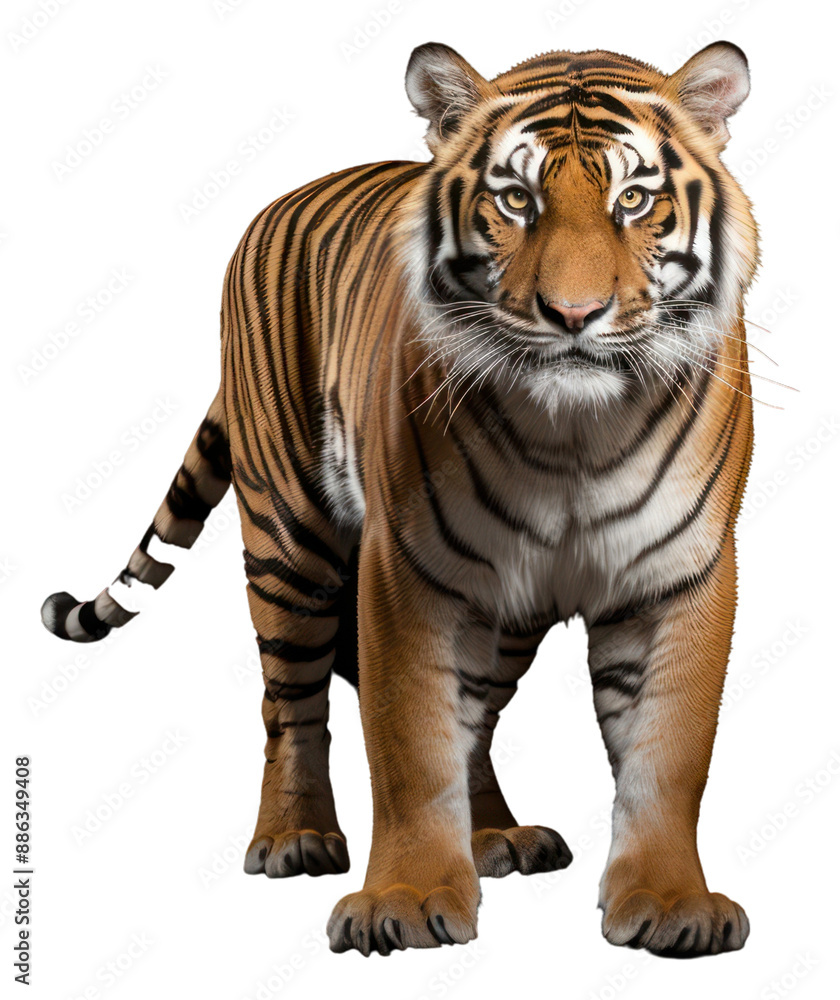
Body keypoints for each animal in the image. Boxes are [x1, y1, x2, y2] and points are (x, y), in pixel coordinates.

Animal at [41, 40, 759, 957]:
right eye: (516, 198)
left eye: (633, 199)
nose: (573, 314)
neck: (573, 437)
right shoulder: (409, 568)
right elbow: (410, 740)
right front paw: (407, 900)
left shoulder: (682, 573)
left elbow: (669, 752)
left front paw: (671, 902)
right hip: (289, 542)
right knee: (291, 702)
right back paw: (294, 837)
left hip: (505, 607)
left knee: (476, 717)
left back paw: (495, 837)